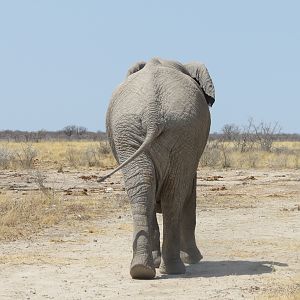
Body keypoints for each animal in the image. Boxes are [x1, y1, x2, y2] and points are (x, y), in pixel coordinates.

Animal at [99, 58, 216, 278]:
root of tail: (152, 113)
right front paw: (194, 259)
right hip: (175, 132)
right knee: (173, 193)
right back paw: (170, 268)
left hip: (146, 130)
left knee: (144, 187)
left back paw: (143, 269)